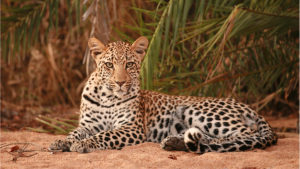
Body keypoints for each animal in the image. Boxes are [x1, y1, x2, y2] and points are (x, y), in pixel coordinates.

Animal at [48, 36, 276, 154]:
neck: (107, 97)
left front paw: (83, 144)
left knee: (243, 135)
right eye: (109, 65)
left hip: (198, 110)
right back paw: (175, 142)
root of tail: (249, 108)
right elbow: (74, 133)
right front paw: (61, 142)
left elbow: (105, 135)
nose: (120, 82)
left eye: (129, 64)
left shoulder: (132, 128)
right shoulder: (88, 125)